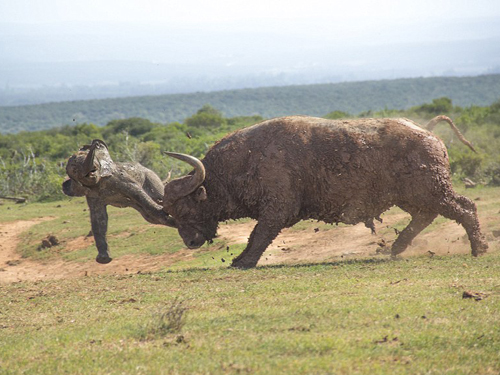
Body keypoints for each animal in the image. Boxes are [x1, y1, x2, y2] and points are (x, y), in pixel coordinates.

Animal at [164, 116, 488, 268]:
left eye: (185, 208)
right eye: (170, 214)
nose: (190, 242)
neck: (245, 161)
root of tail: (428, 133)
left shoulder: (277, 209)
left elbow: (259, 236)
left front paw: (243, 261)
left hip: (432, 190)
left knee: (465, 208)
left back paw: (479, 248)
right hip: (412, 196)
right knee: (427, 216)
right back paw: (396, 247)